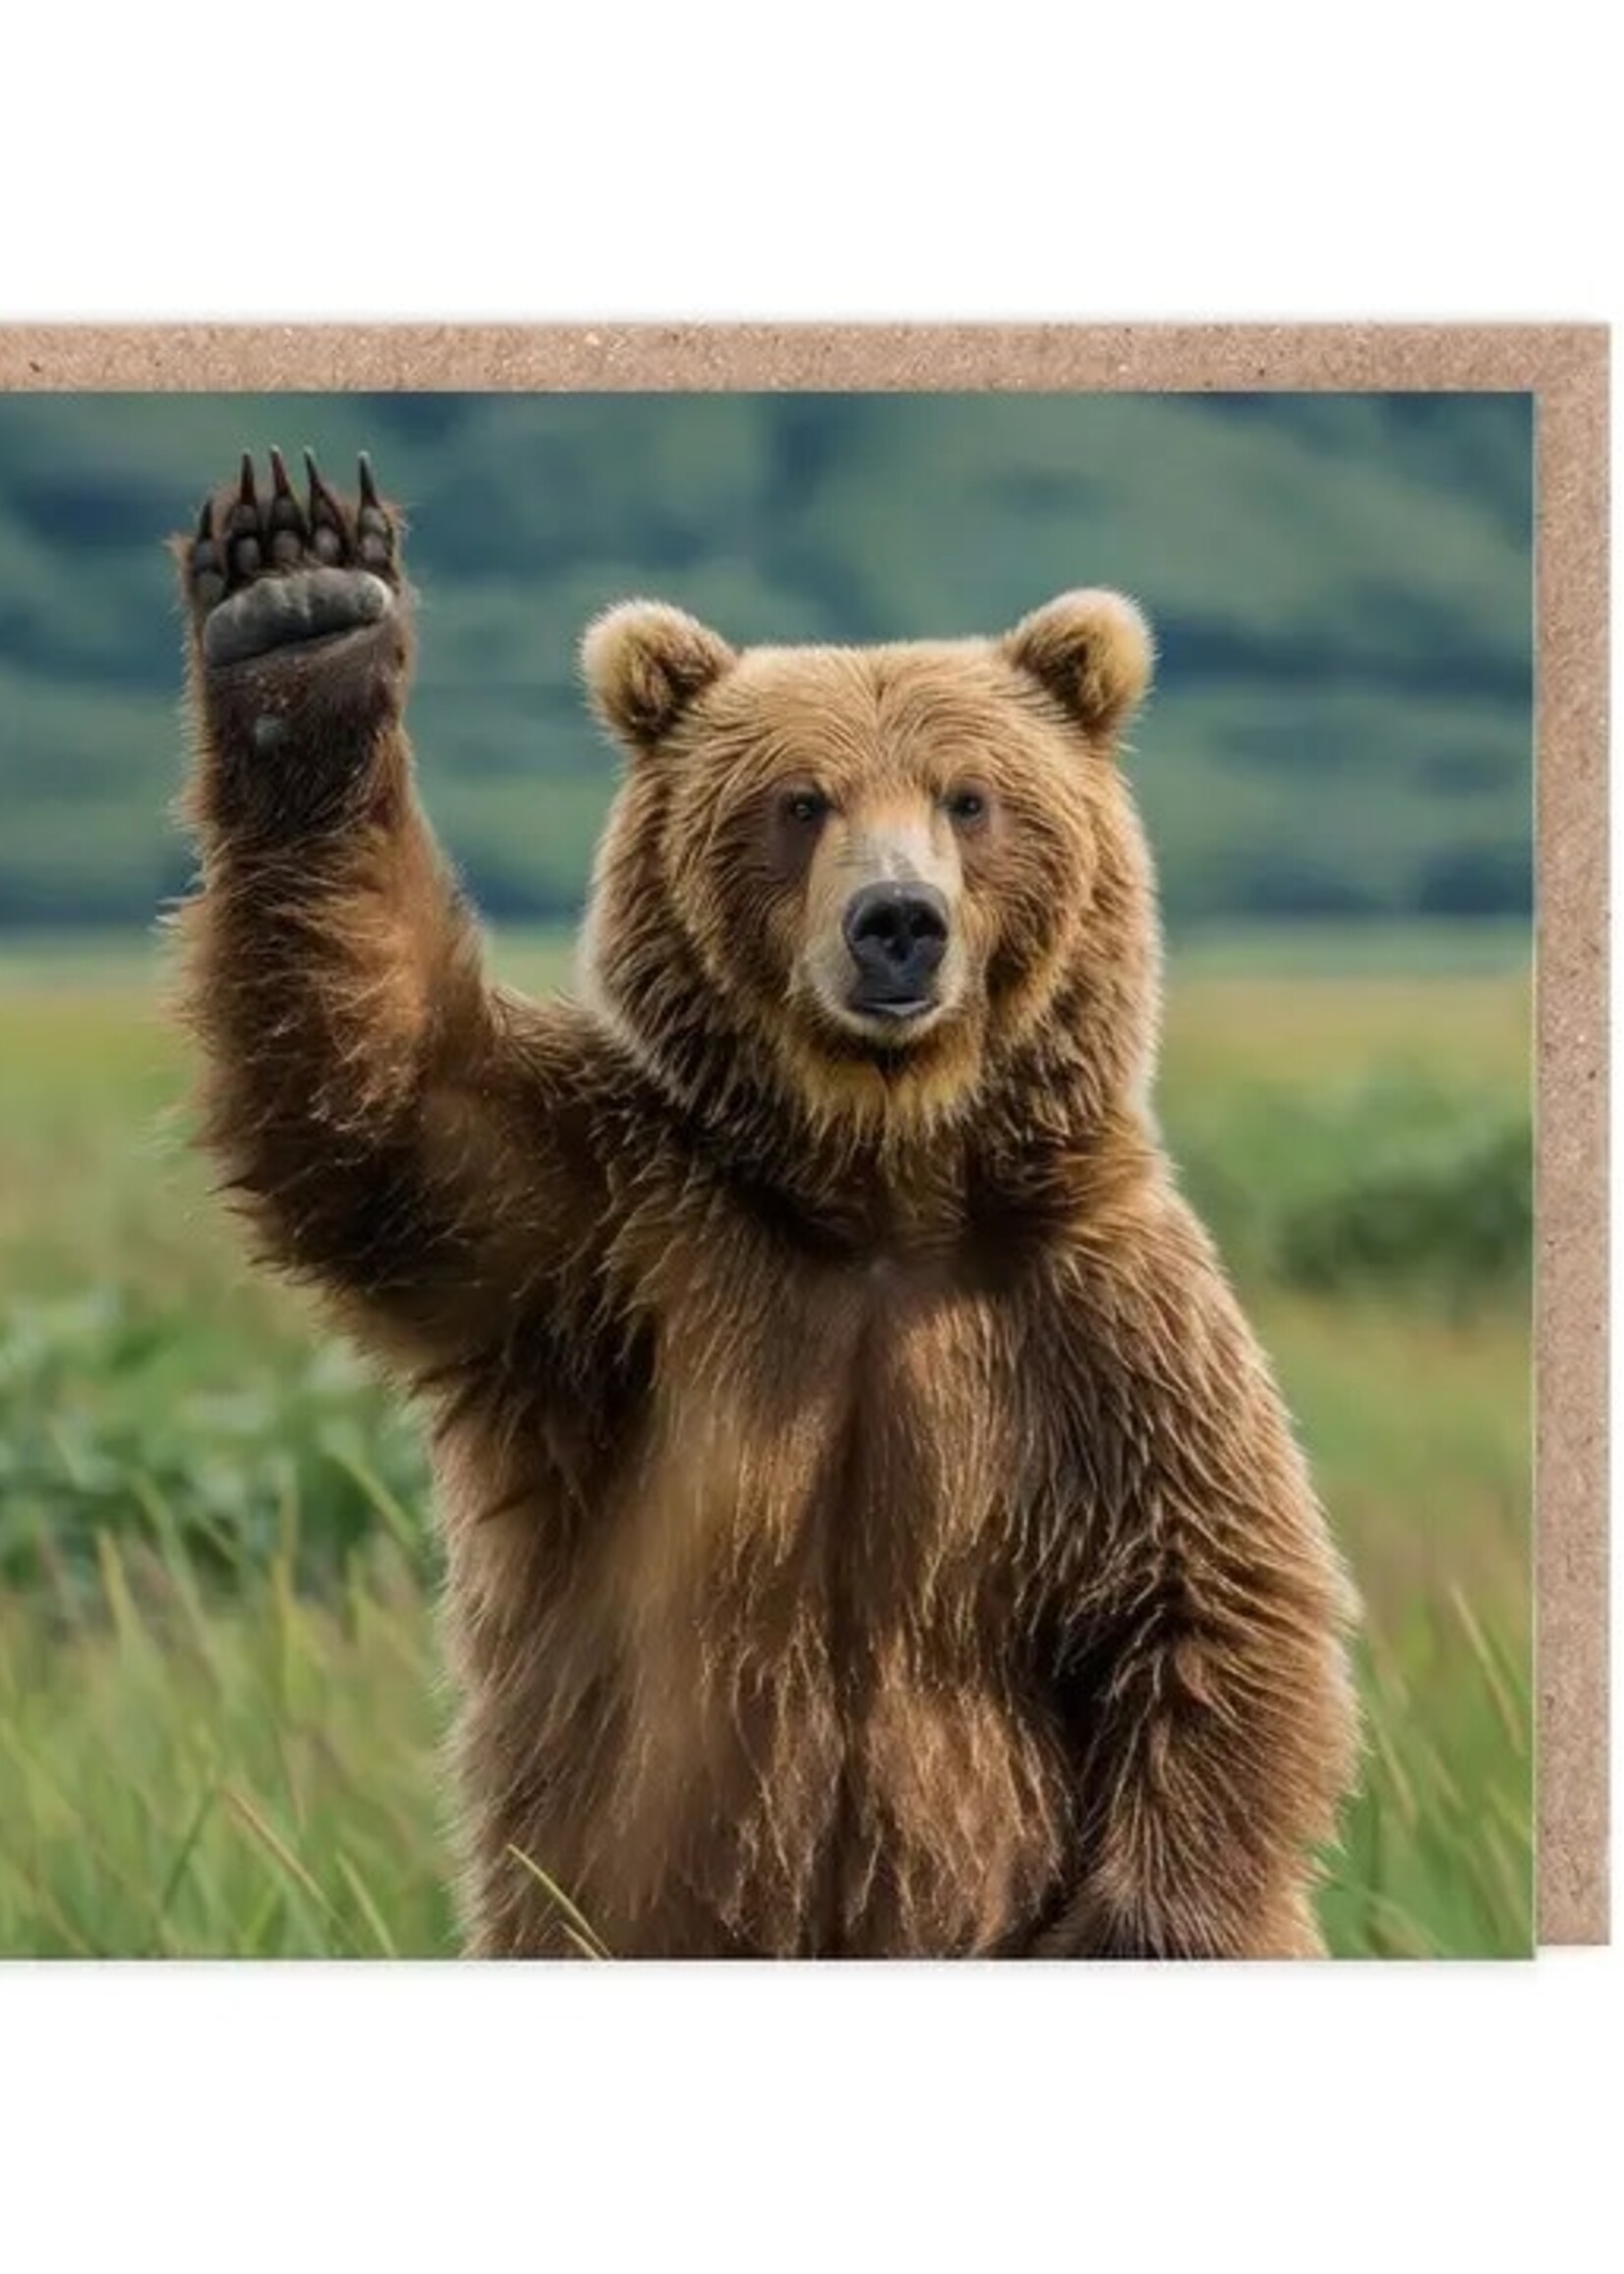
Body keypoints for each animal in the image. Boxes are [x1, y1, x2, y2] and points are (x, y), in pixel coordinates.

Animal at [170, 449, 1361, 1959]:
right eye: (802, 801)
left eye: (969, 798)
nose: (897, 922)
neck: (878, 1192)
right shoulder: (616, 1238)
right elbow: (381, 1104)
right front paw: (298, 603)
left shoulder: (1098, 1321)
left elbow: (1212, 1593)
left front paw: (1132, 1923)